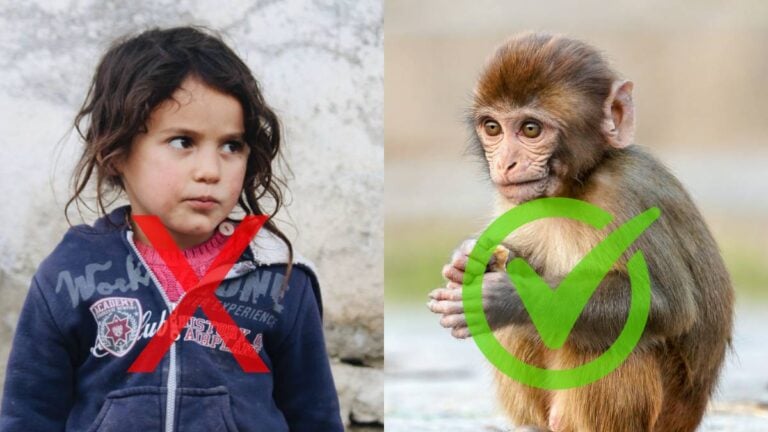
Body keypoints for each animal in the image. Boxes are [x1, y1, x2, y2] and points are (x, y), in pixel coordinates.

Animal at [426, 33, 734, 432]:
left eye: (530, 129)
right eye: (492, 128)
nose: (505, 163)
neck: (575, 186)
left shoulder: (627, 194)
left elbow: (666, 305)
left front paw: (508, 297)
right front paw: (467, 259)